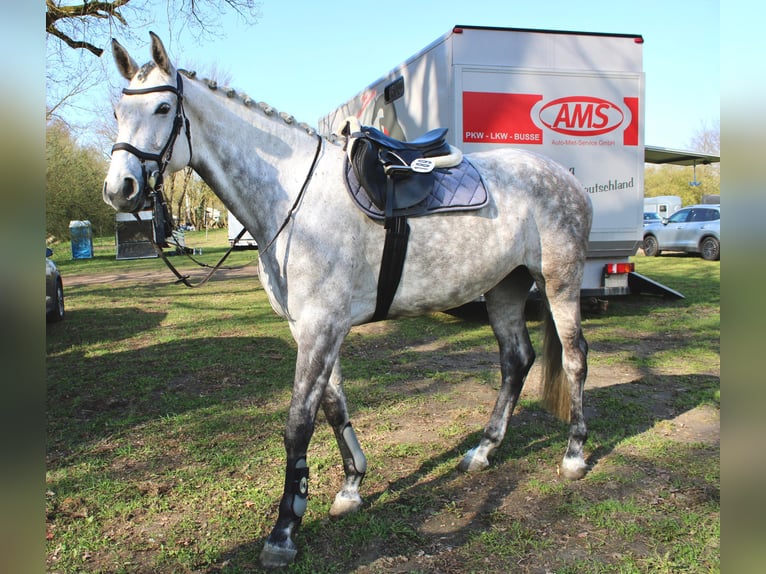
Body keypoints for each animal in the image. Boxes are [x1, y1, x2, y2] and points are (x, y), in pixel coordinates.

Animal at [103, 33, 593, 568]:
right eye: (118, 113)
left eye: (164, 107)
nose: (119, 189)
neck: (293, 201)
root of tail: (565, 177)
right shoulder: (313, 327)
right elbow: (334, 406)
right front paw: (351, 486)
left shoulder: (321, 327)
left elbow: (299, 423)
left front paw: (284, 530)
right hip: (504, 287)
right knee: (515, 360)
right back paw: (483, 451)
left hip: (560, 283)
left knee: (574, 358)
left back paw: (574, 455)